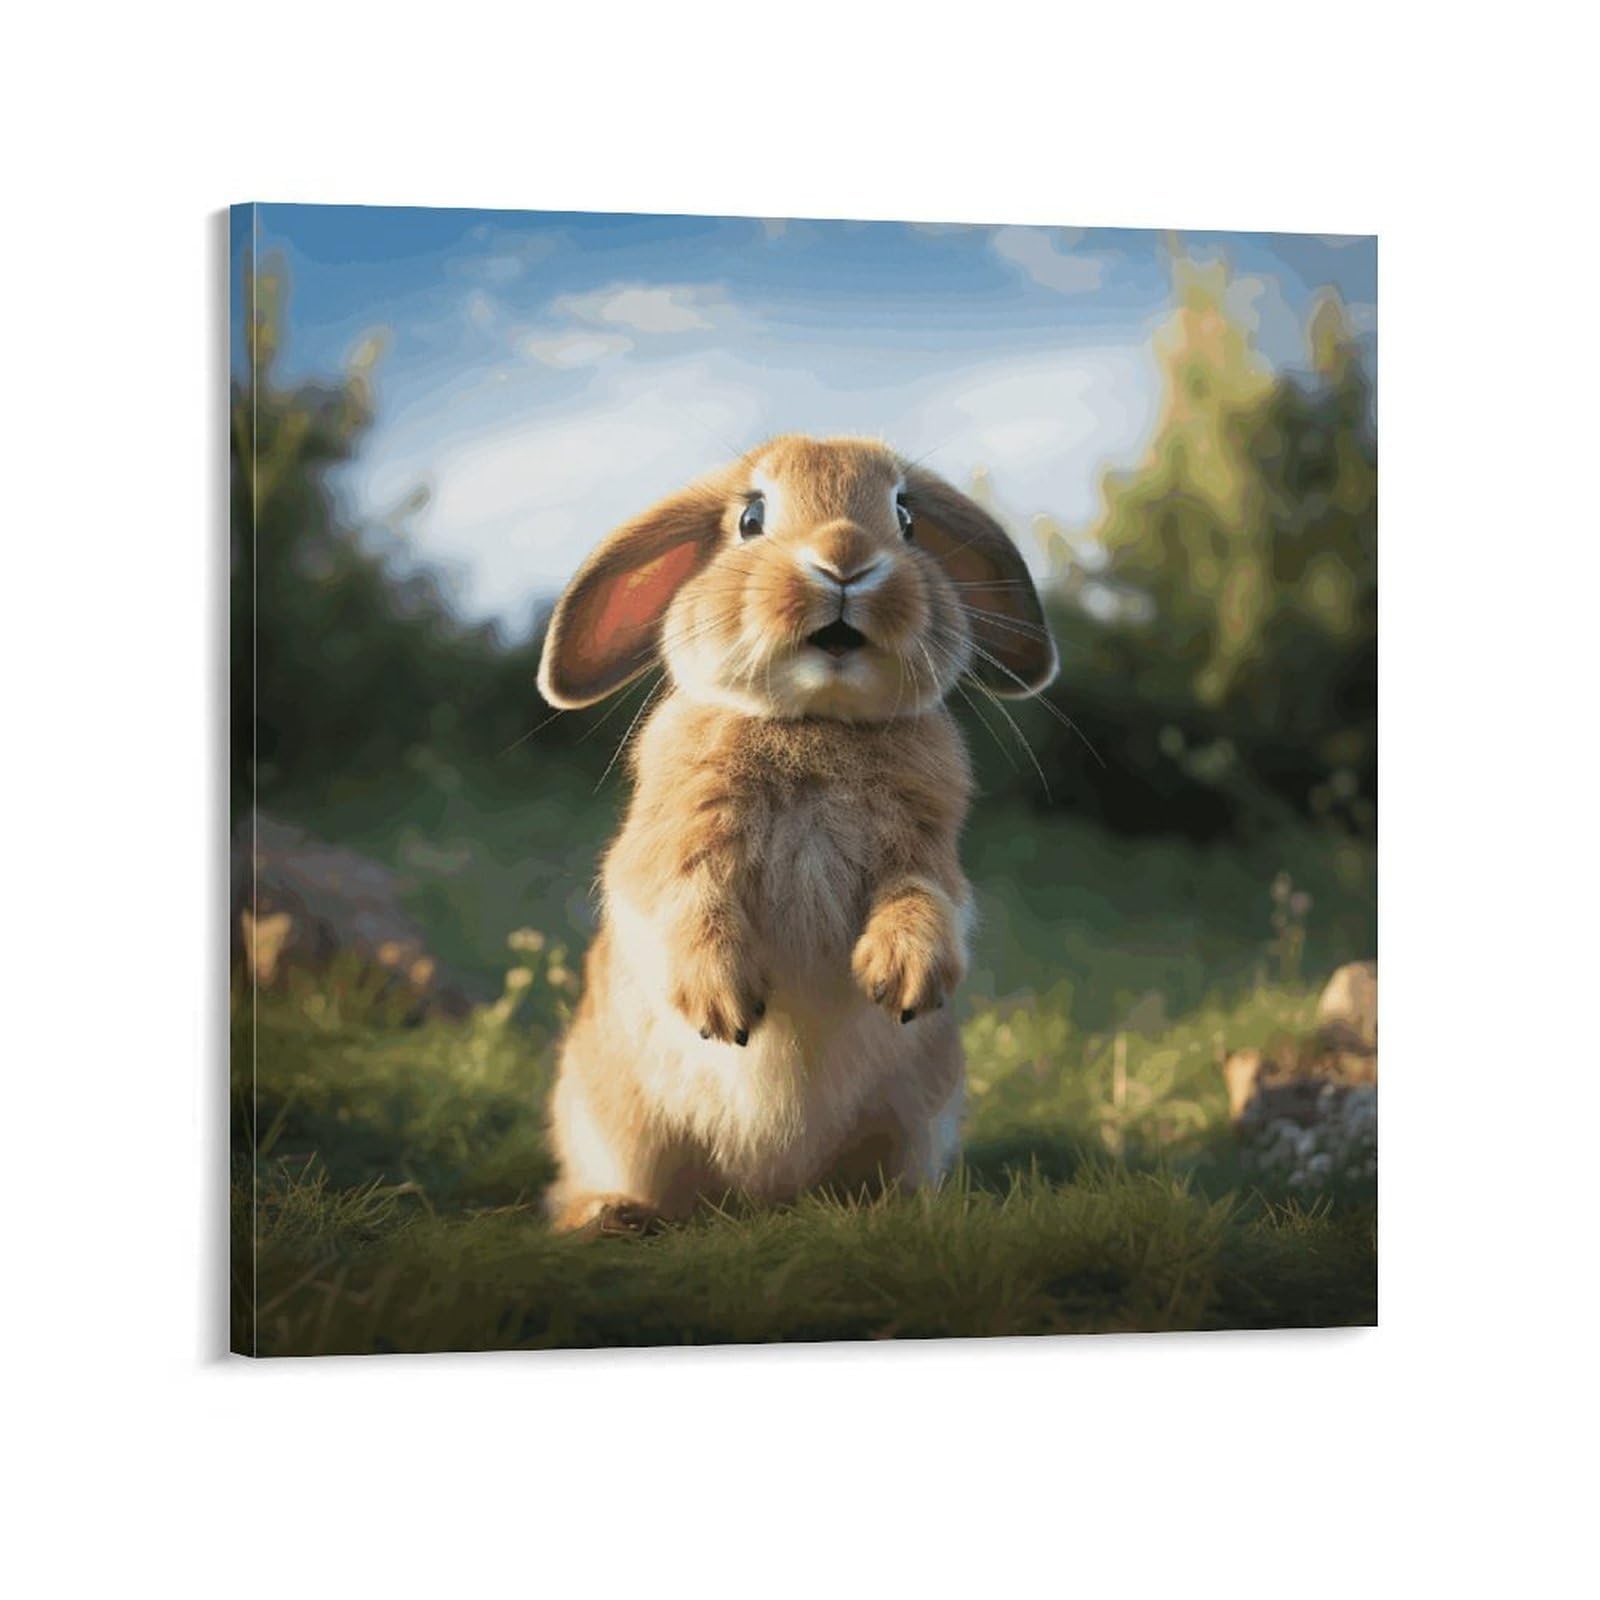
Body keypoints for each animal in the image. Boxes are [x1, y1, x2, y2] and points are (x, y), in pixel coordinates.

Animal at [535, 435, 1056, 1233]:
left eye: (906, 517)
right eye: (751, 518)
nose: (845, 559)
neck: (817, 722)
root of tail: (766, 1195)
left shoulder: (927, 855)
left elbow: (925, 902)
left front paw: (900, 978)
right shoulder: (669, 852)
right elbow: (686, 904)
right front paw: (722, 1006)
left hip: (916, 1121)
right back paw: (610, 1216)